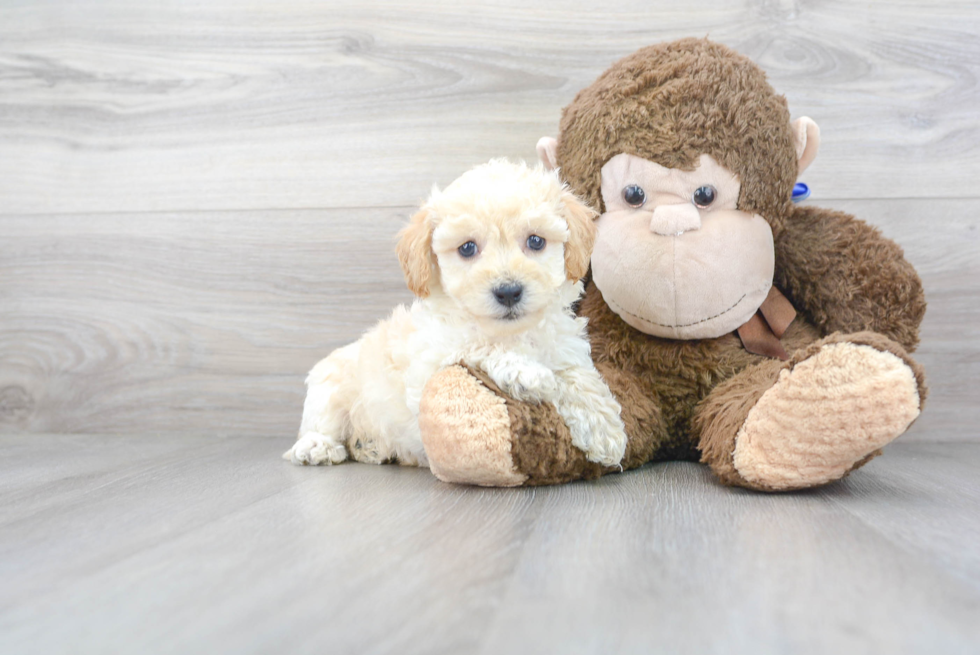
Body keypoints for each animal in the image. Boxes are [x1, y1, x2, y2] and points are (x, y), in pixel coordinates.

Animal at [284, 162, 628, 474]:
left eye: (535, 241)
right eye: (467, 248)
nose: (508, 292)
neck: (512, 333)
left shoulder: (564, 348)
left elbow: (578, 375)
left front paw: (604, 430)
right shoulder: (432, 361)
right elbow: (477, 346)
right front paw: (526, 373)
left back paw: (370, 447)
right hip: (330, 388)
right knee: (319, 424)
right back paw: (319, 446)